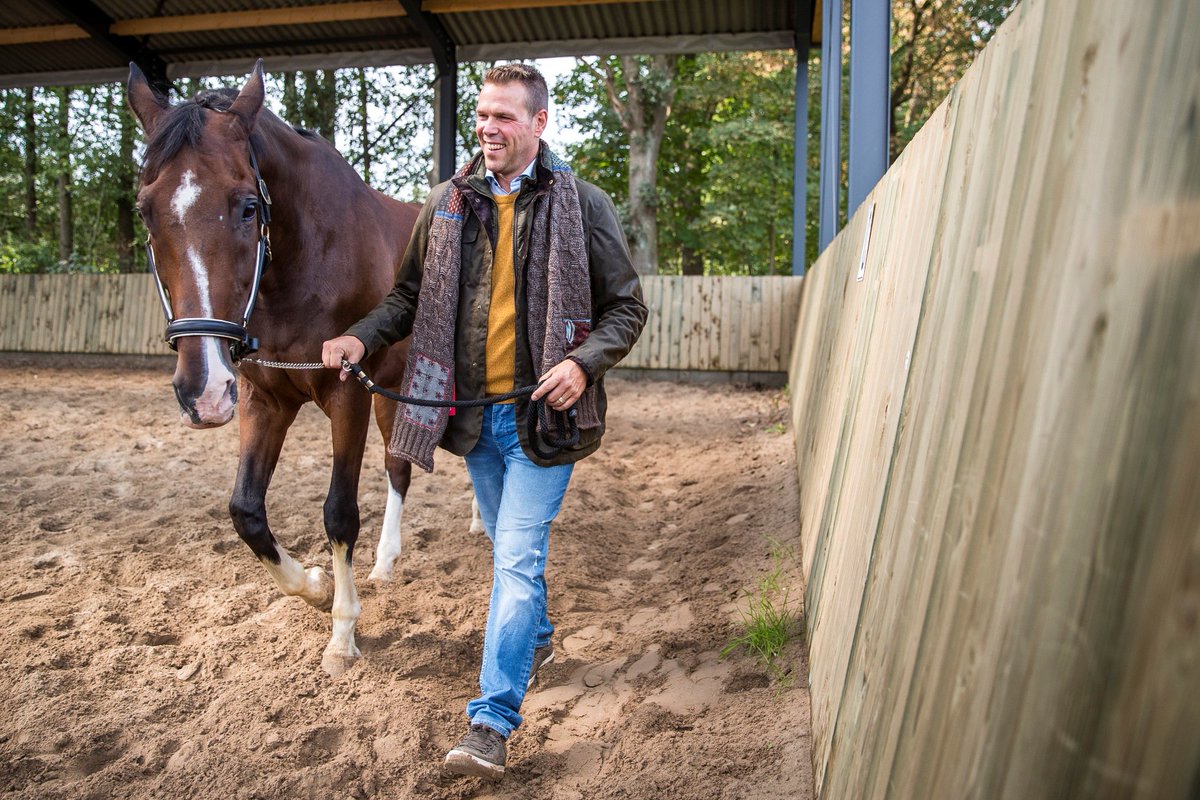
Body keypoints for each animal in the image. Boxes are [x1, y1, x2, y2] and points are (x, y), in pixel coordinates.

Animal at [128, 60, 433, 676]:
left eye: (249, 206)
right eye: (145, 210)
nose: (201, 391)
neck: (303, 261)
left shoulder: (347, 393)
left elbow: (339, 513)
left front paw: (342, 633)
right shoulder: (262, 399)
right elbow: (245, 511)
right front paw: (313, 586)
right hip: (390, 388)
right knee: (399, 467)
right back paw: (385, 564)